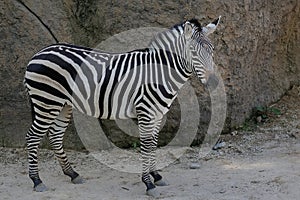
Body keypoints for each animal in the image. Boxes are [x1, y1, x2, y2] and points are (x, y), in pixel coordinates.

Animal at [24, 16, 220, 197]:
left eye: (212, 50)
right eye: (193, 51)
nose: (214, 83)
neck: (159, 73)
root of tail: (39, 53)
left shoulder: (158, 114)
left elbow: (153, 144)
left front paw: (156, 176)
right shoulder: (145, 112)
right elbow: (146, 145)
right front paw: (149, 183)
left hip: (62, 105)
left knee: (55, 136)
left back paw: (72, 174)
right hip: (47, 101)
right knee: (33, 136)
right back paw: (37, 180)